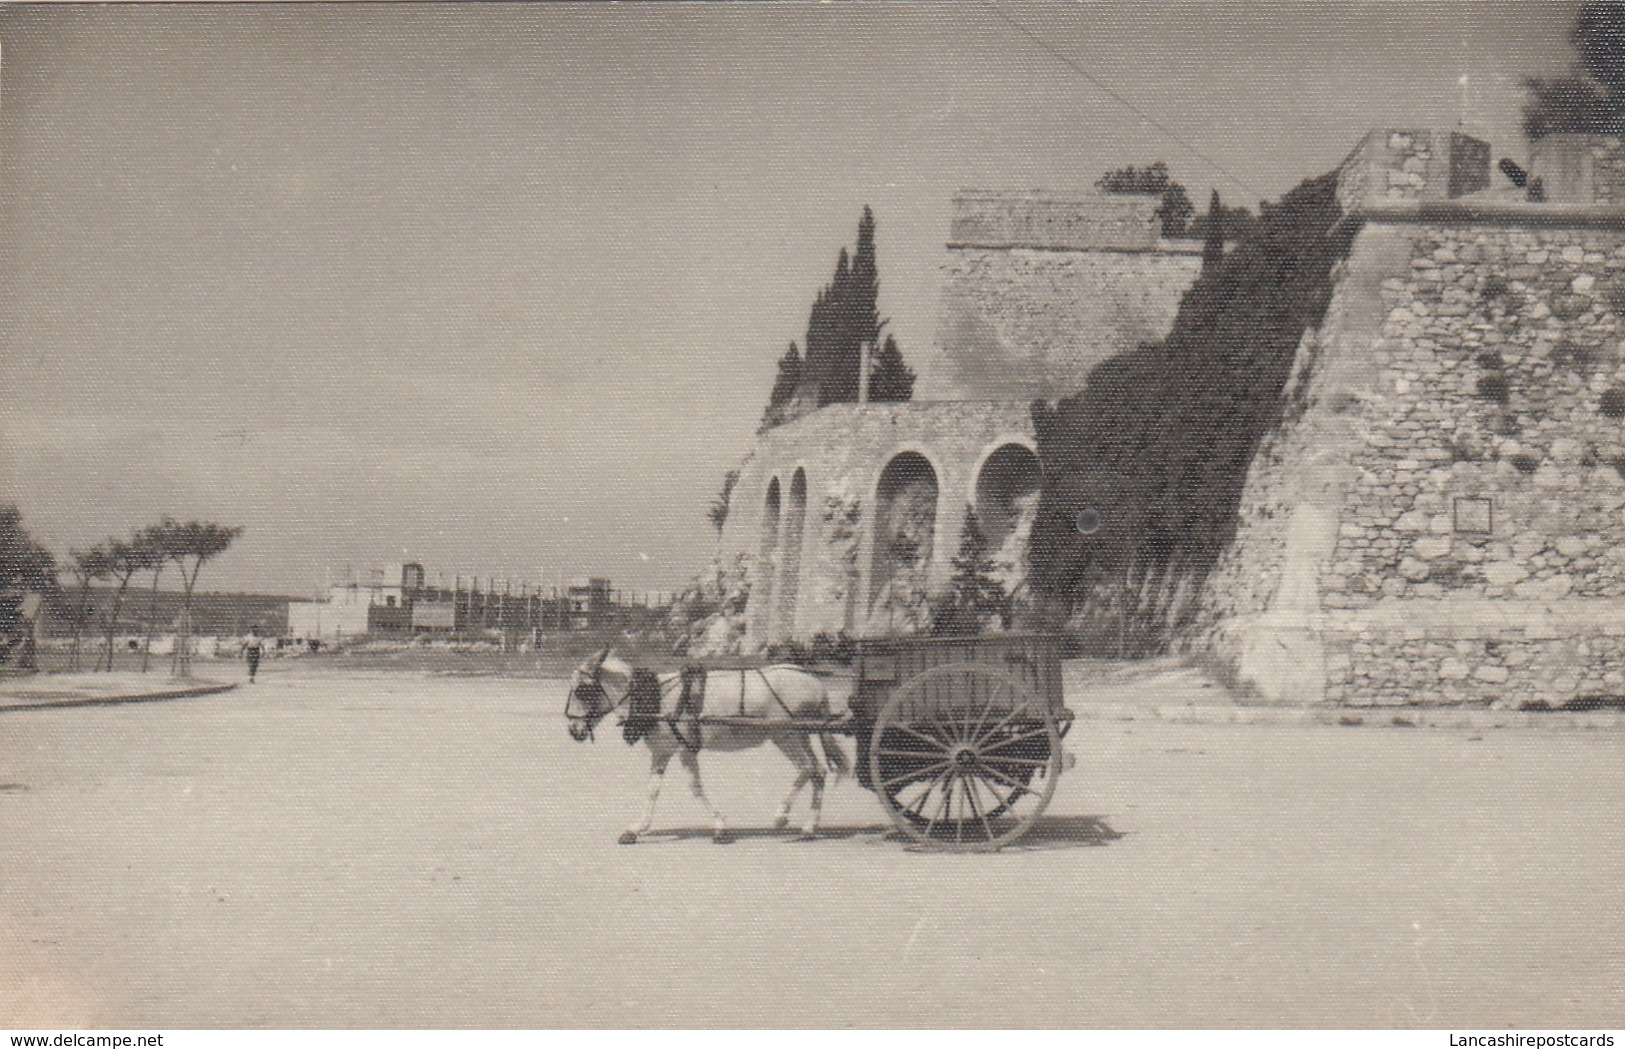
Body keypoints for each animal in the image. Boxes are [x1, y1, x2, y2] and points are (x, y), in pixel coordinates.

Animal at [565, 649, 851, 844]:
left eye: (582, 690)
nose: (573, 731)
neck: (659, 699)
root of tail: (815, 683)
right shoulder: (662, 752)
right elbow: (652, 790)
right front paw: (636, 829)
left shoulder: (685, 750)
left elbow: (695, 787)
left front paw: (720, 826)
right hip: (798, 736)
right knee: (818, 772)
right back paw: (809, 827)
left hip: (786, 736)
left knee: (807, 769)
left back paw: (782, 815)